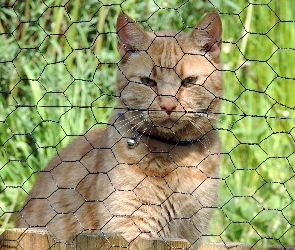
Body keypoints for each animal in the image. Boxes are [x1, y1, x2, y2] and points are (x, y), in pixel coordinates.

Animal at [16, 9, 223, 248]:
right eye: (147, 82)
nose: (168, 105)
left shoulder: (191, 234)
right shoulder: (129, 229)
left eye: (189, 81)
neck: (174, 157)